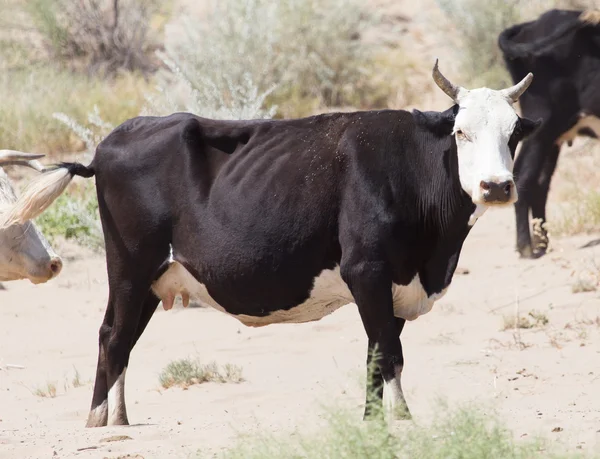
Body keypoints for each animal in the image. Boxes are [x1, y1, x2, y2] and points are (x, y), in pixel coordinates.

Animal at [2, 61, 540, 428]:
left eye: (513, 132)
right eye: (461, 131)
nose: (496, 186)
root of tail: (112, 140)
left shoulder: (391, 286)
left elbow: (376, 355)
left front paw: (372, 423)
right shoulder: (366, 271)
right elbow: (388, 353)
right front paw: (402, 421)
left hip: (153, 280)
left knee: (121, 340)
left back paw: (117, 420)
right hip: (130, 269)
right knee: (112, 336)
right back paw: (100, 425)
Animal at [496, 8, 600, 258]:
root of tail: (532, 24)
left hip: (552, 138)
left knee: (540, 183)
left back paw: (541, 242)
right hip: (542, 128)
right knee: (524, 177)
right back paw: (527, 247)